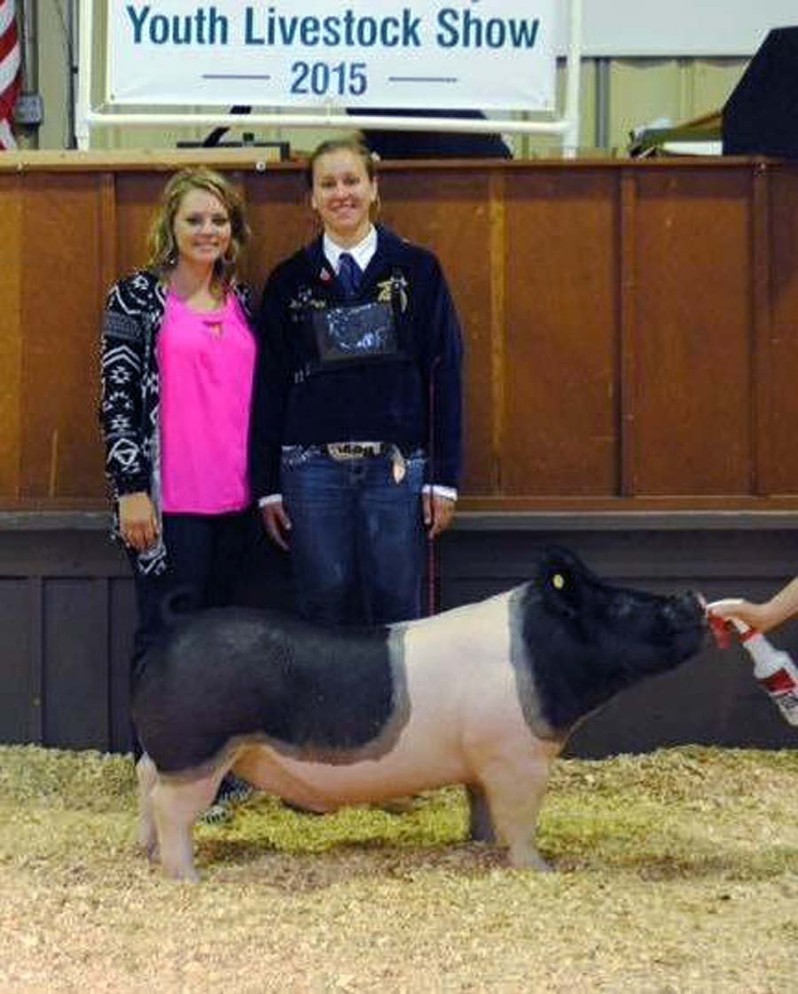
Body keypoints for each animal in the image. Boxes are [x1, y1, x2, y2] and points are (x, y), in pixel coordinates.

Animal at [131, 548, 708, 880]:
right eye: (621, 607)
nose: (692, 595)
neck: (535, 657)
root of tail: (173, 632)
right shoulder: (515, 758)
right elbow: (520, 818)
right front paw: (540, 869)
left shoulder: (482, 764)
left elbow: (482, 808)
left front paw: (480, 843)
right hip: (197, 752)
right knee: (170, 807)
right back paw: (186, 876)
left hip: (169, 754)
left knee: (144, 781)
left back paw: (144, 852)